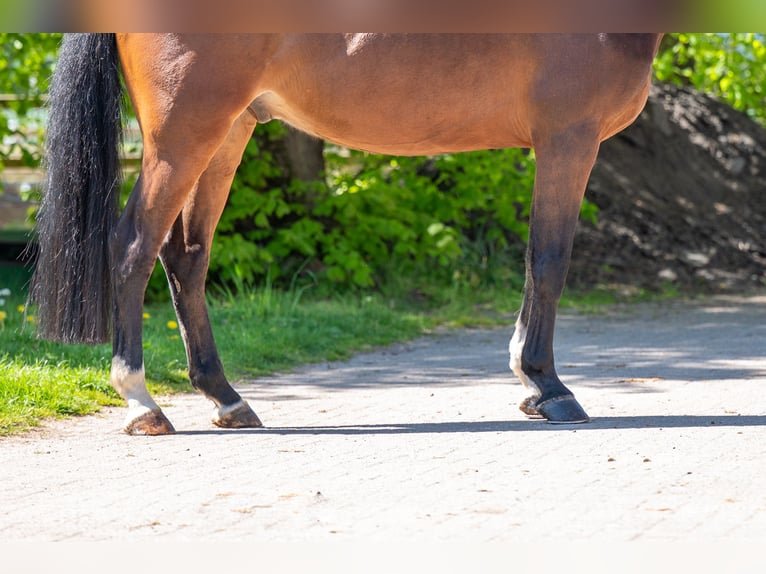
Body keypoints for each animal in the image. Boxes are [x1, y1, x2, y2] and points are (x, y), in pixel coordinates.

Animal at [31, 33, 663, 435]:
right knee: (133, 248)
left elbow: (535, 263)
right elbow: (549, 262)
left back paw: (227, 399)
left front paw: (532, 385)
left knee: (187, 257)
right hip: (183, 135)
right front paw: (549, 388)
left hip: (227, 132)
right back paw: (142, 405)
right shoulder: (568, 139)